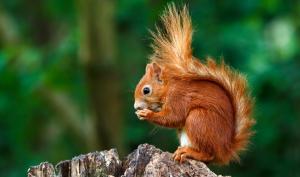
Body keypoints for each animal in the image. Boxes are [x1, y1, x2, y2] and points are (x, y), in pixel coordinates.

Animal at [134, 4, 255, 165]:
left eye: (146, 90)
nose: (136, 107)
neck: (168, 88)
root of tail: (224, 150)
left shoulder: (178, 97)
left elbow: (173, 117)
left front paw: (147, 114)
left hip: (199, 119)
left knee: (208, 154)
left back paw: (189, 153)